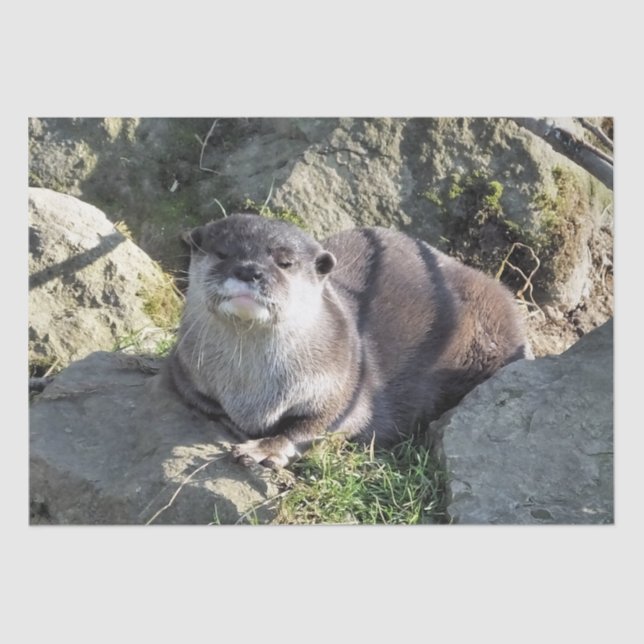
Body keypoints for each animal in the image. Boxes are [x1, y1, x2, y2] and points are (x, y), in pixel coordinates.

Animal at [165, 213, 530, 468]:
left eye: (284, 262)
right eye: (222, 253)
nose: (249, 270)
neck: (251, 392)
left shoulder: (346, 383)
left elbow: (317, 425)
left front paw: (263, 448)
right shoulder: (183, 368)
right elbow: (204, 403)